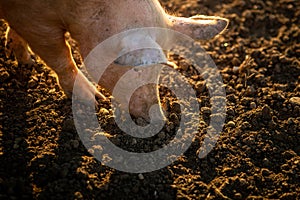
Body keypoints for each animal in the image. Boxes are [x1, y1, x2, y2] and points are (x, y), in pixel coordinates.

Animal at [0, 0, 227, 120]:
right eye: (136, 69)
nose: (160, 118)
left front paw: (26, 61)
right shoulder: (33, 20)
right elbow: (61, 56)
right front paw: (95, 99)